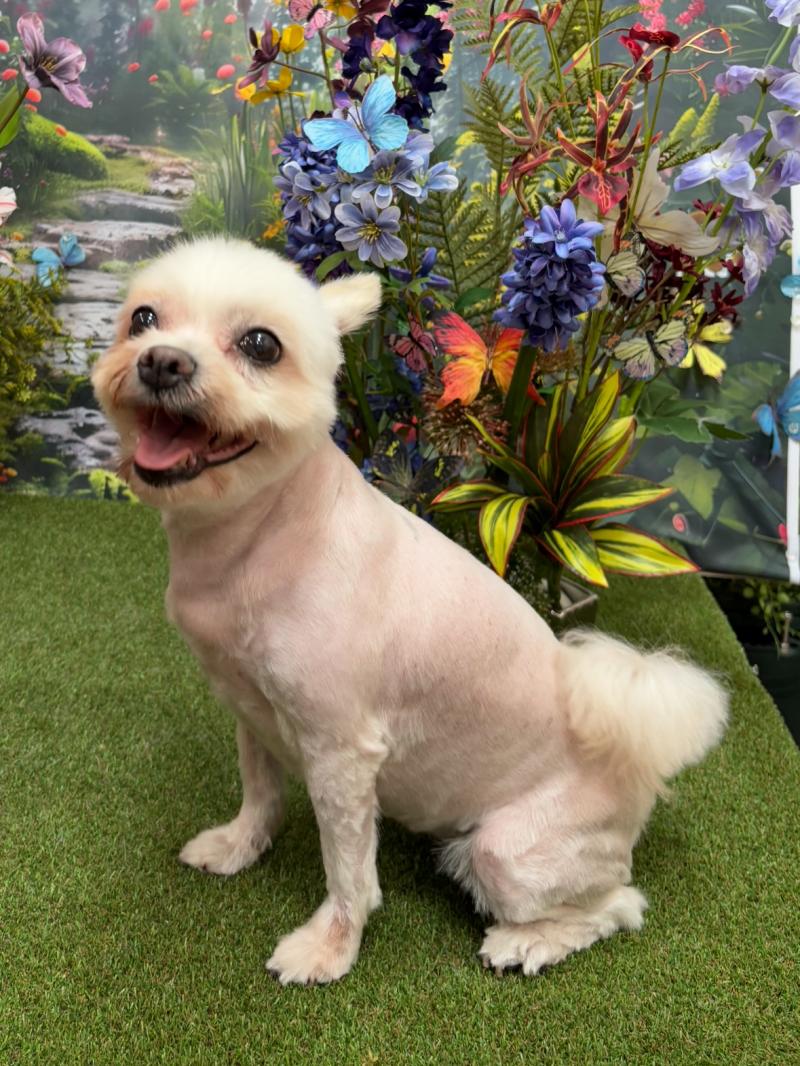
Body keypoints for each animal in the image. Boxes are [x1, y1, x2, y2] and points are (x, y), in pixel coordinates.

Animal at [92, 237, 728, 985]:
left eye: (260, 344)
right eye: (143, 319)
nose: (162, 361)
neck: (263, 537)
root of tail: (636, 775)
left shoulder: (342, 751)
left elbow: (347, 870)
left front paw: (330, 947)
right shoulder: (249, 705)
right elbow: (260, 791)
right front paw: (240, 845)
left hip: (507, 852)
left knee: (618, 906)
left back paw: (527, 942)